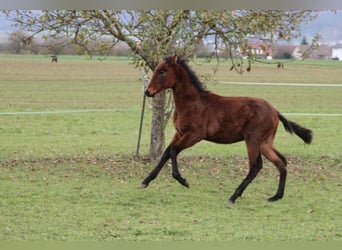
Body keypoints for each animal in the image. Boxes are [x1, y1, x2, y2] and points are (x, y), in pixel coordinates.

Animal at [142, 55, 312, 204]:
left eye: (162, 71)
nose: (147, 92)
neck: (192, 103)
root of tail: (275, 111)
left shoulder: (195, 135)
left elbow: (173, 151)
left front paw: (183, 181)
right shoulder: (179, 133)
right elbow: (166, 153)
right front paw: (146, 181)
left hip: (253, 140)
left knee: (256, 166)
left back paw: (233, 197)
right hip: (265, 143)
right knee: (281, 162)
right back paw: (276, 196)